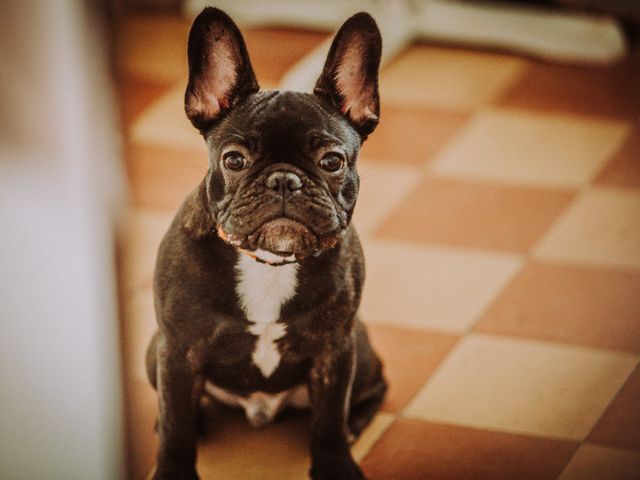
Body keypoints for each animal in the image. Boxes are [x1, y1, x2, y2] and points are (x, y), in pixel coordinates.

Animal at [146, 8, 384, 480]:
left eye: (333, 161)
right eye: (234, 159)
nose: (284, 180)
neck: (269, 261)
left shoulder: (334, 350)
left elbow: (328, 420)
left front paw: (337, 464)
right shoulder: (177, 350)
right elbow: (177, 423)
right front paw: (173, 460)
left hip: (361, 349)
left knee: (374, 387)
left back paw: (356, 423)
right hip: (153, 351)